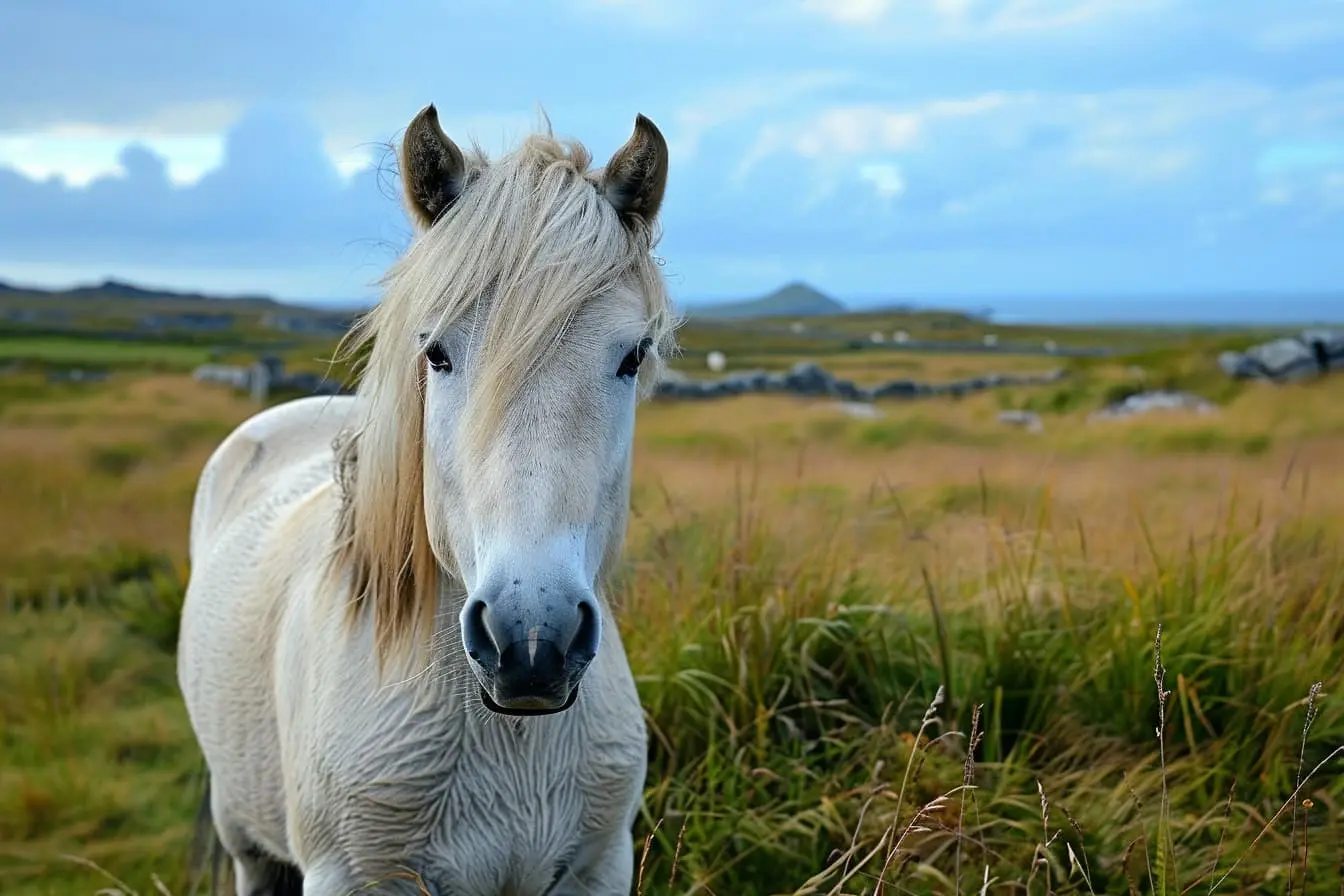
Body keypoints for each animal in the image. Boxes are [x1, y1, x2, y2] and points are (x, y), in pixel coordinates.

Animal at [178, 106, 677, 896]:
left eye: (632, 356)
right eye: (436, 353)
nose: (531, 644)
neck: (508, 738)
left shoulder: (599, 866)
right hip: (244, 837)